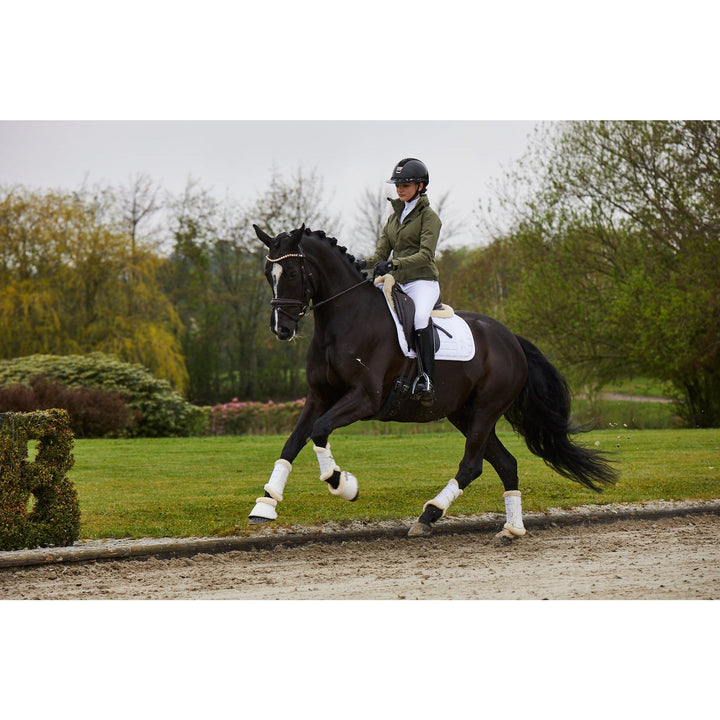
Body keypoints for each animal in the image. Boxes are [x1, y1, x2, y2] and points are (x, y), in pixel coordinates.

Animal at [249, 224, 618, 538]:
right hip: (464, 414)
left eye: (292, 273)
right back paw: (512, 529)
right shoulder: (319, 397)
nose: (282, 329)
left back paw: (429, 514)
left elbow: (320, 430)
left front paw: (342, 483)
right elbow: (293, 442)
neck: (344, 321)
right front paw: (265, 504)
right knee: (505, 463)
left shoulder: (364, 398)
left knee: (472, 465)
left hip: (485, 410)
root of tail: (511, 339)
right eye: (269, 274)